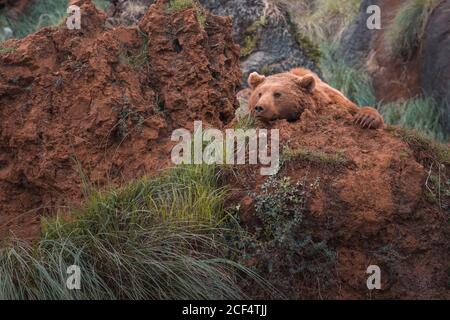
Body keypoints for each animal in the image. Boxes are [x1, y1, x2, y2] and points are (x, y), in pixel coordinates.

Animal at [248, 67, 384, 129]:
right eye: (259, 93)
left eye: (277, 94)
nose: (259, 108)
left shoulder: (337, 100)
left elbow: (356, 109)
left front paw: (366, 118)